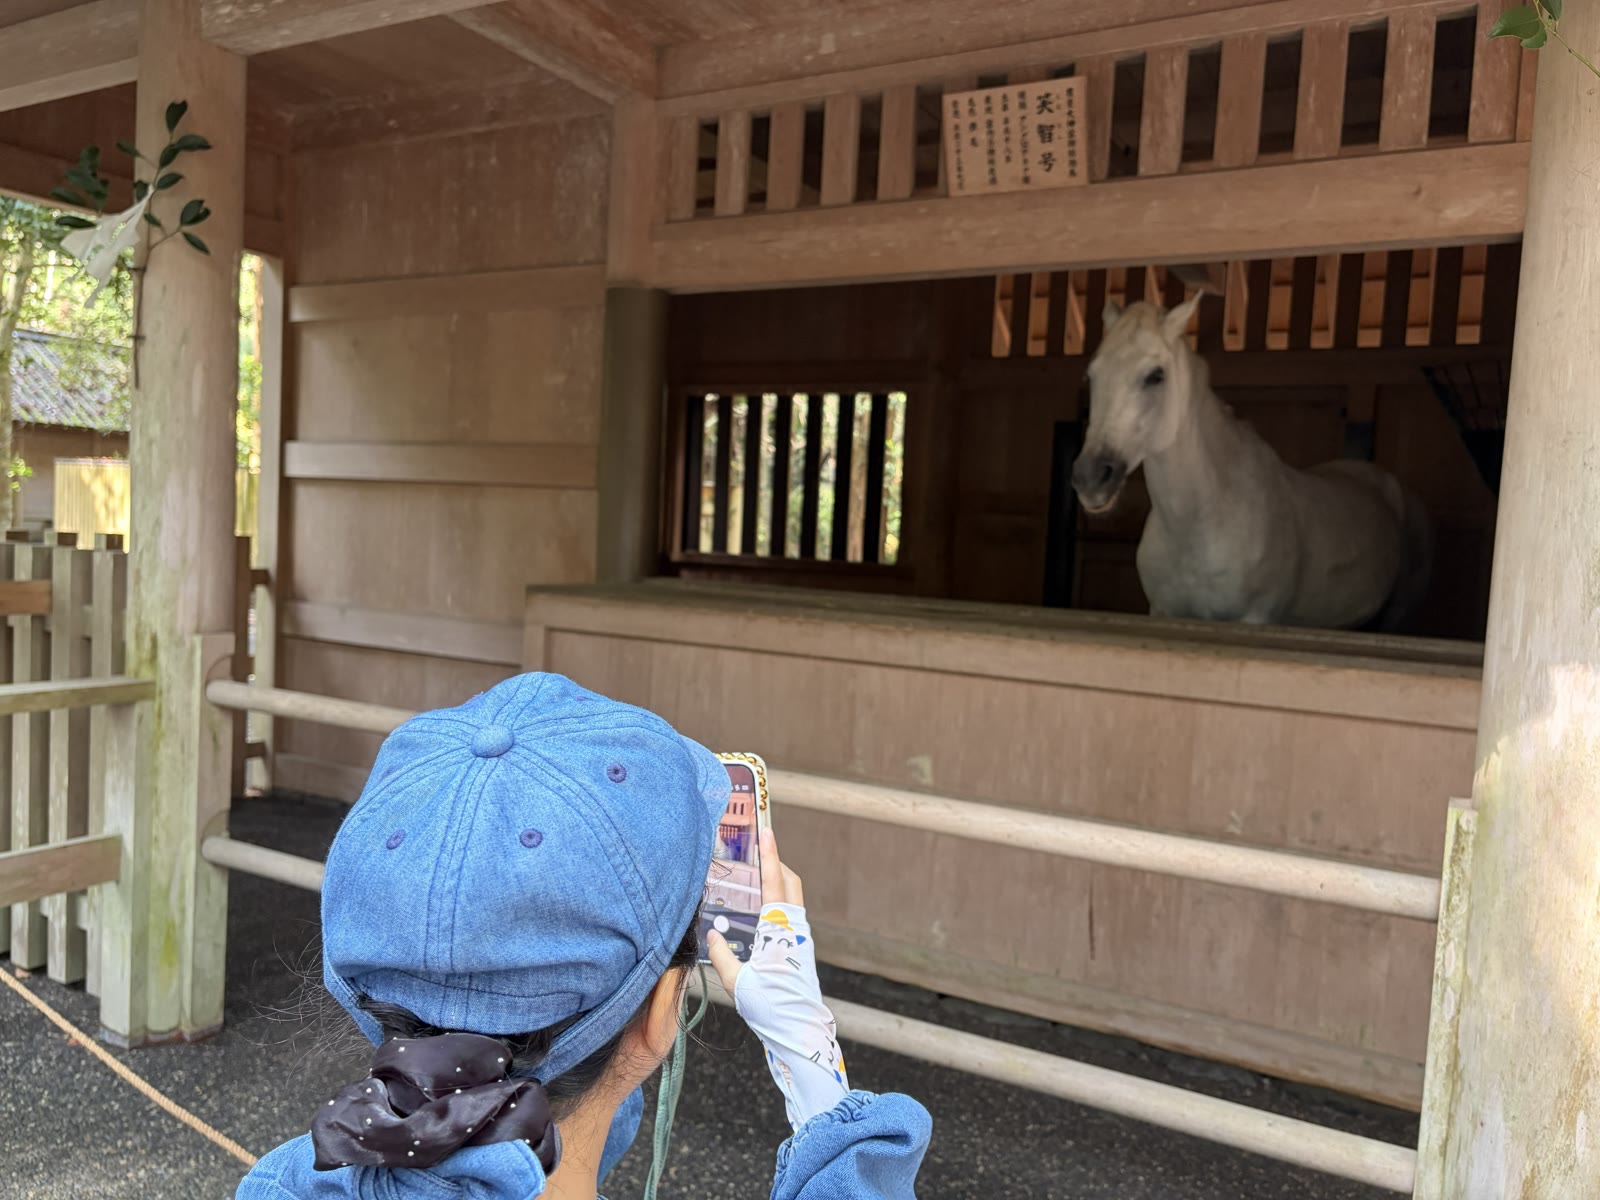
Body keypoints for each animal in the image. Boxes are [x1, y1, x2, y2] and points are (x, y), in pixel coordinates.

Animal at [1069, 296, 1433, 630]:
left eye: (1156, 375)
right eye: (1091, 375)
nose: (1090, 478)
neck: (1200, 525)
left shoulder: (1255, 620)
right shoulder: (1162, 612)